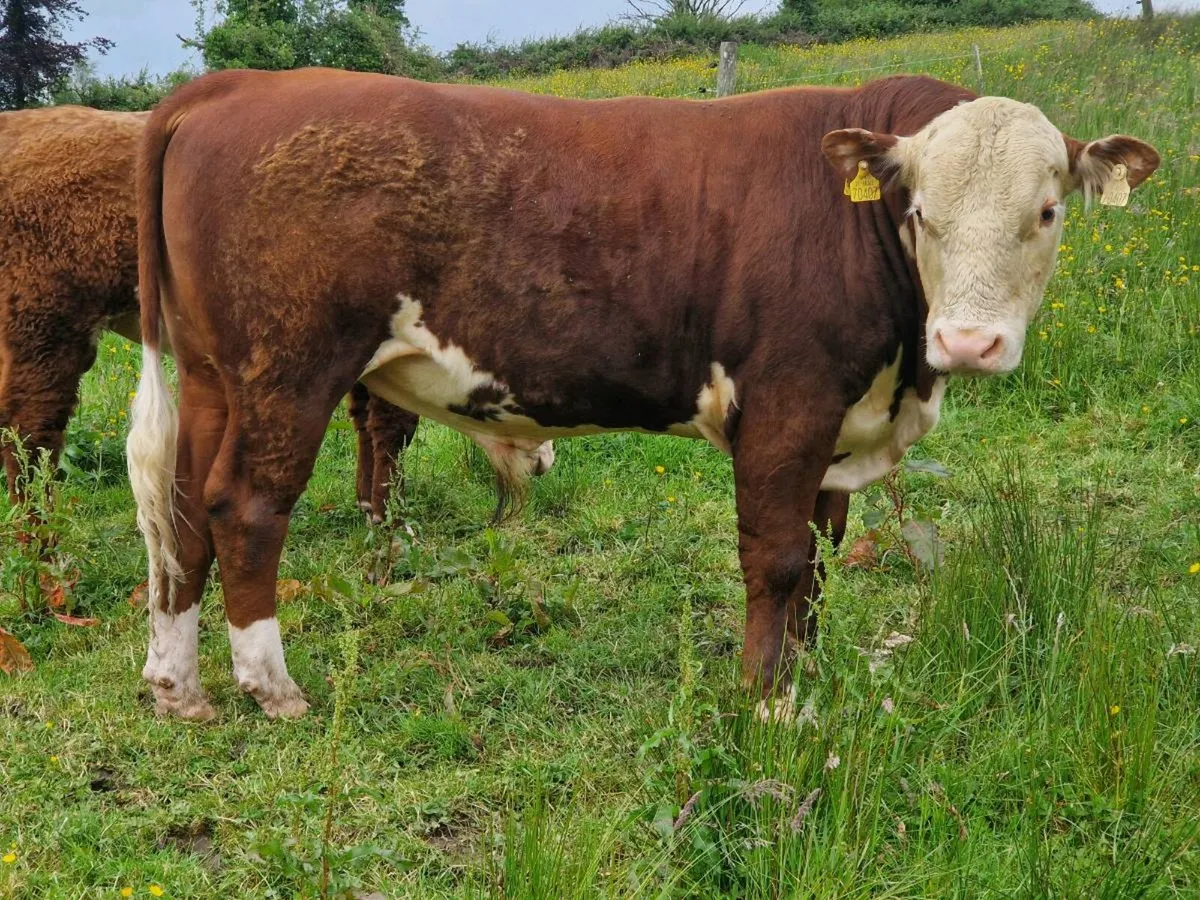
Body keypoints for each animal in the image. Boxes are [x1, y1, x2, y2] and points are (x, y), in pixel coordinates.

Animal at [1, 105, 426, 523]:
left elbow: (366, 417)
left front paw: (370, 505)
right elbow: (394, 424)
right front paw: (392, 514)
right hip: (44, 321)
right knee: (30, 430)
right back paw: (41, 533)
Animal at [127, 69, 1158, 721]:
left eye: (1047, 211)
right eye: (920, 212)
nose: (969, 342)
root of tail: (240, 83)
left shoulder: (837, 422)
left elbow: (820, 563)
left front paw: (808, 675)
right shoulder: (787, 404)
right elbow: (778, 559)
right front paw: (767, 703)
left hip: (216, 375)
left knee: (181, 511)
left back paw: (180, 686)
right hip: (289, 369)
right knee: (247, 506)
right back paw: (270, 687)